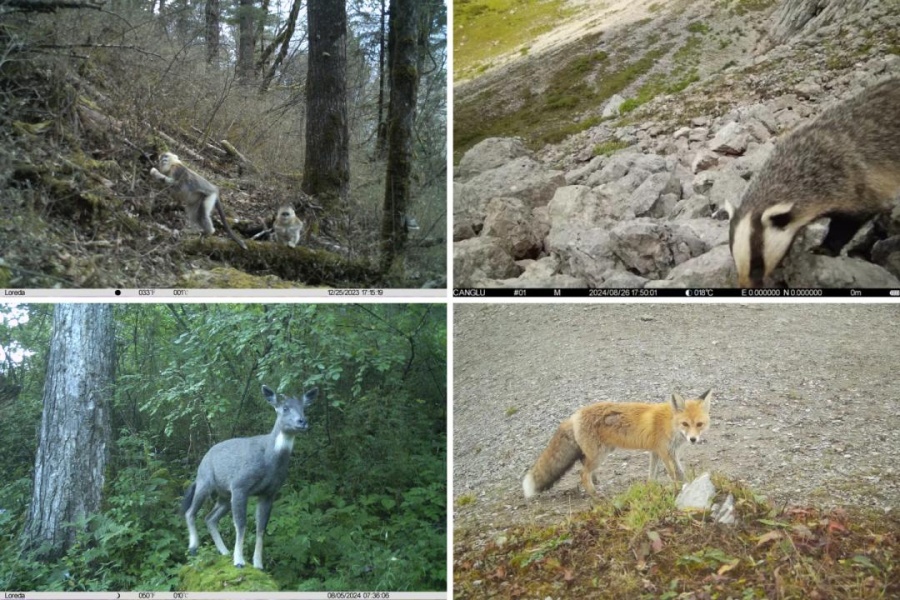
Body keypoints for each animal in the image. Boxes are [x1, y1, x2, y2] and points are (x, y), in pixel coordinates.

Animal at [520, 390, 712, 496]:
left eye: (699, 424)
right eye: (685, 424)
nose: (693, 439)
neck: (669, 424)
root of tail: (574, 416)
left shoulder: (661, 452)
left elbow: (667, 473)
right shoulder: (664, 452)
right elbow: (672, 473)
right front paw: (677, 488)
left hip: (600, 452)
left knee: (583, 464)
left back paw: (595, 481)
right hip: (600, 455)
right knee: (582, 473)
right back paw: (595, 494)